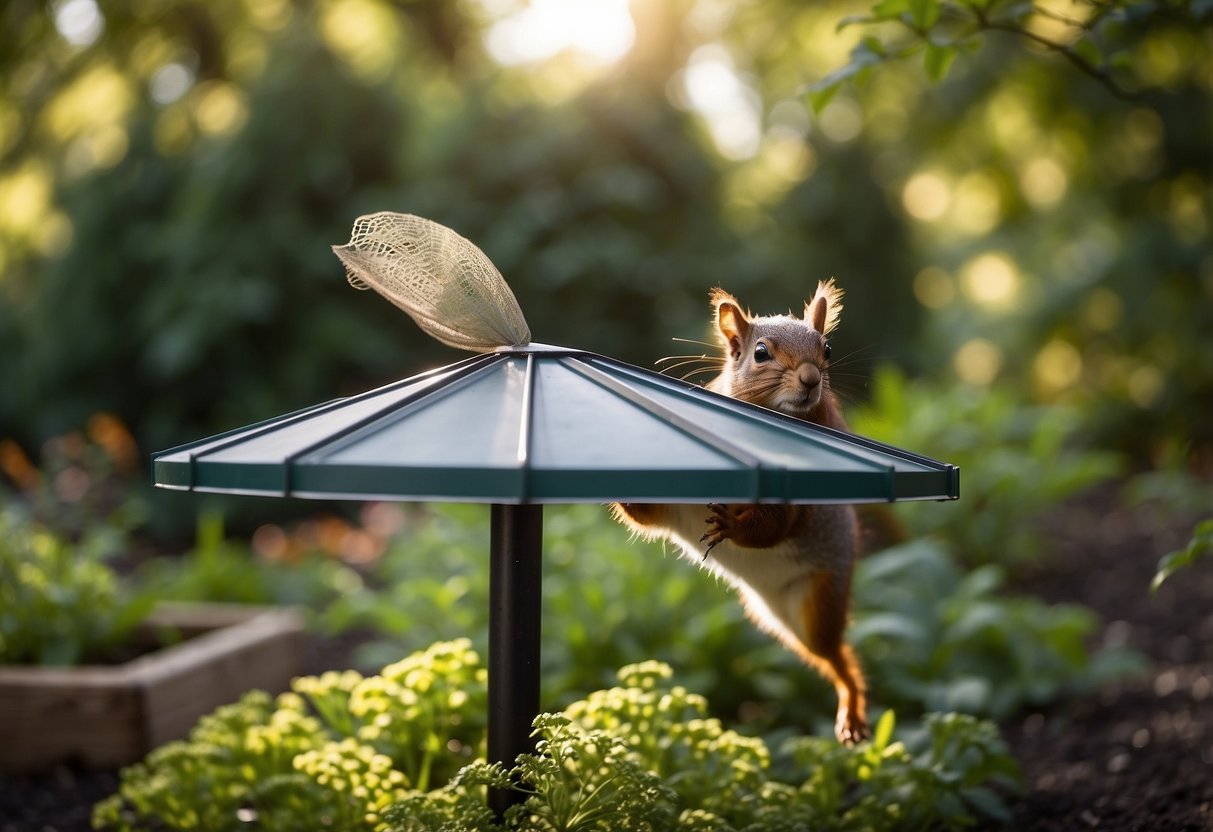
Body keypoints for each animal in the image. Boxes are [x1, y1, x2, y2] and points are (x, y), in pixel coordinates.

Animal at [611, 280, 868, 742]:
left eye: (827, 349)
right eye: (760, 353)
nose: (810, 378)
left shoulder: (795, 501)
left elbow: (771, 528)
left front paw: (731, 525)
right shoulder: (673, 505)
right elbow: (649, 514)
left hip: (821, 599)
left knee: (838, 657)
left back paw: (852, 705)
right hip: (781, 623)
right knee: (820, 656)